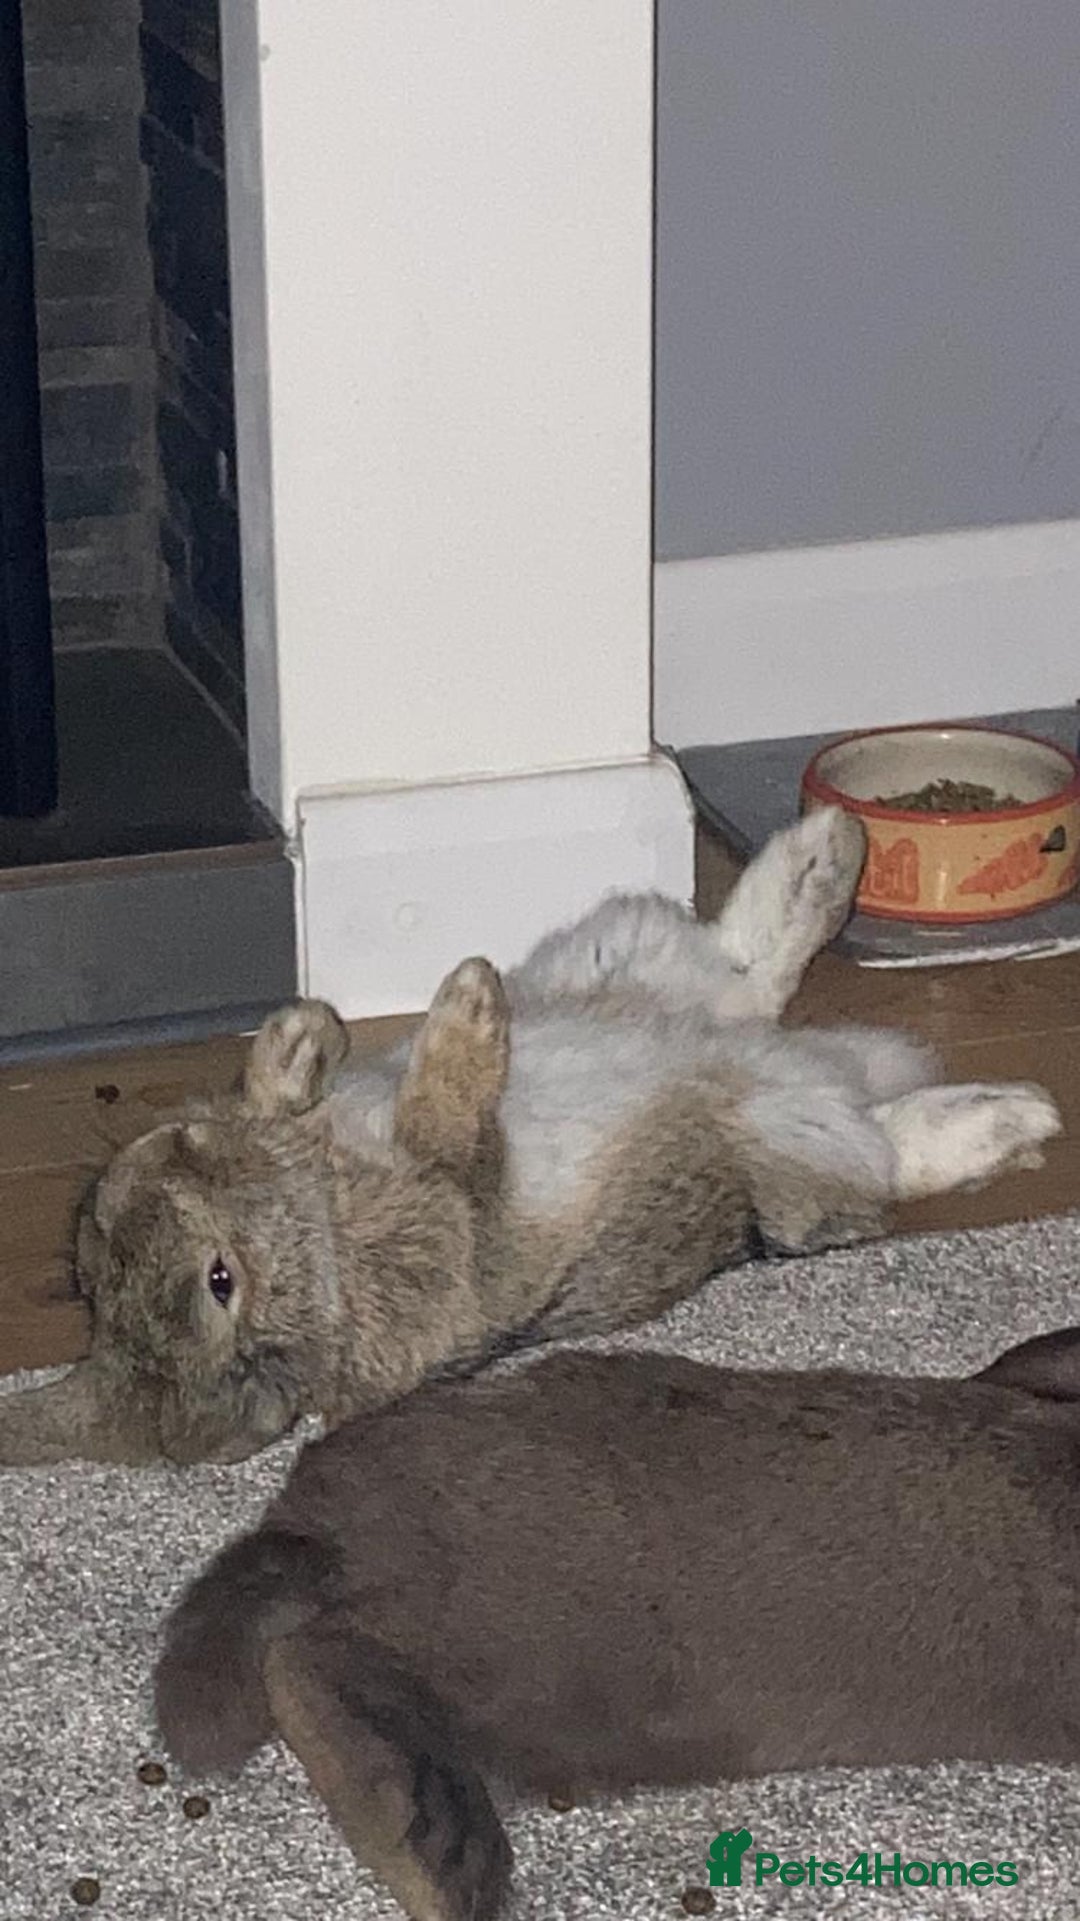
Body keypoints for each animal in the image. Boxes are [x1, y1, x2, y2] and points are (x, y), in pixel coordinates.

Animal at [0, 805, 1060, 1468]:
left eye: (89, 1250)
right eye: (221, 1282)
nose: (153, 1162)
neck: (320, 1233)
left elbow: (299, 1089)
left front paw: (304, 1036)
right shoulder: (464, 1225)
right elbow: (454, 1128)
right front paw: (467, 1003)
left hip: (622, 956)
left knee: (743, 966)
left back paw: (827, 852)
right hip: (798, 1134)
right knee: (878, 1139)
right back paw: (1011, 1115)